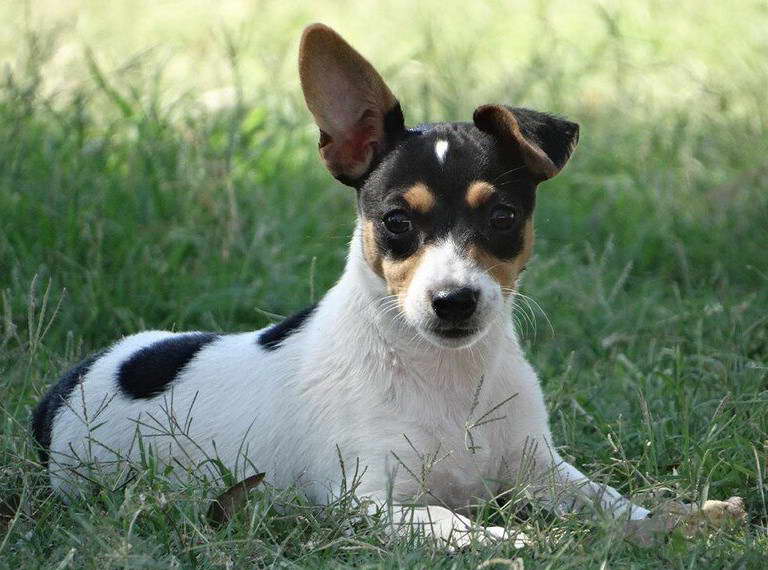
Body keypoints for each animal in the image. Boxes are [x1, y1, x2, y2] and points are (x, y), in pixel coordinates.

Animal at [31, 24, 736, 548]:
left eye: (503, 218)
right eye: (396, 222)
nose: (454, 301)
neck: (445, 379)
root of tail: (61, 394)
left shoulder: (543, 470)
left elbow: (611, 502)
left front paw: (675, 519)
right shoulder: (370, 501)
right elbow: (459, 525)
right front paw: (516, 543)